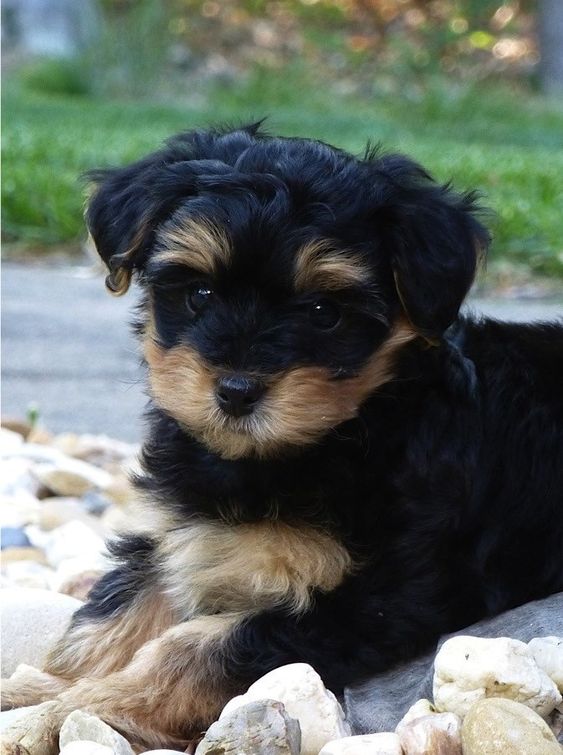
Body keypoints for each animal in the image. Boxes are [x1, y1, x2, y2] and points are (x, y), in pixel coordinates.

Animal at [4, 124, 563, 752]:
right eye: (199, 295)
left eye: (323, 312)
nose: (236, 390)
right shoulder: (180, 535)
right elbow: (115, 614)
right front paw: (44, 690)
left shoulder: (376, 598)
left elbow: (196, 646)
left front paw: (78, 707)